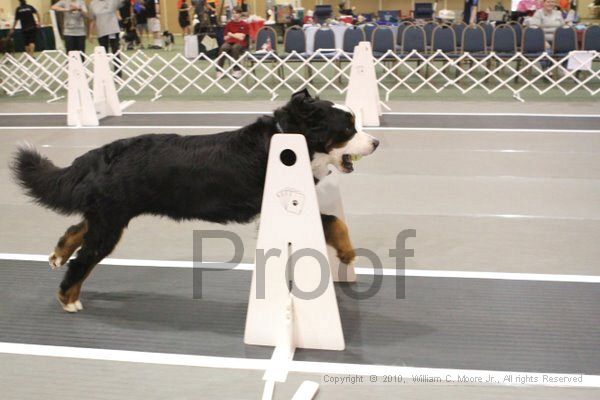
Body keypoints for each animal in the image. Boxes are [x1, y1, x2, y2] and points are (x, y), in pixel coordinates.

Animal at [11, 90, 380, 312]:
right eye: (348, 128)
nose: (375, 142)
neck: (287, 140)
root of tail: (99, 154)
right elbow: (334, 222)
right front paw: (347, 252)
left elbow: (333, 221)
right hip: (110, 224)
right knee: (83, 261)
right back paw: (67, 298)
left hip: (107, 215)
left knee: (77, 228)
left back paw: (58, 254)